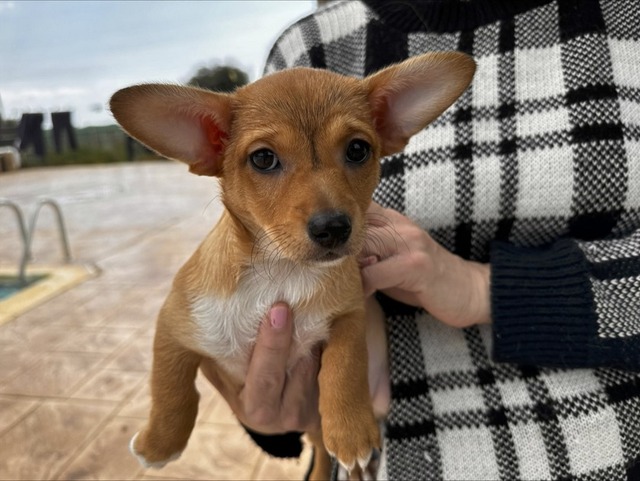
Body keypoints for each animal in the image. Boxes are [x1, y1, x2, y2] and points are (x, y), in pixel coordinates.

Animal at [109, 51, 474, 480]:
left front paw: (351, 432)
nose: (333, 228)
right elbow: (171, 389)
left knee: (324, 446)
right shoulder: (174, 328)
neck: (282, 274)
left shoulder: (350, 313)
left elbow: (344, 368)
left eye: (358, 149)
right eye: (264, 158)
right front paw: (159, 443)